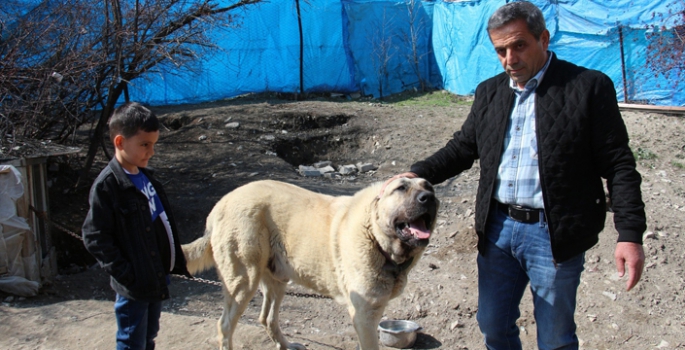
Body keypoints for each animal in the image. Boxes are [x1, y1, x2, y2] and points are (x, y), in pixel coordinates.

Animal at [182, 179, 438, 348]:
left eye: (429, 186)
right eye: (401, 188)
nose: (429, 198)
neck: (374, 234)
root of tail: (221, 204)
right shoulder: (364, 315)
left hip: (277, 279)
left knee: (267, 318)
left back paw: (286, 345)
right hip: (244, 282)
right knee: (225, 325)